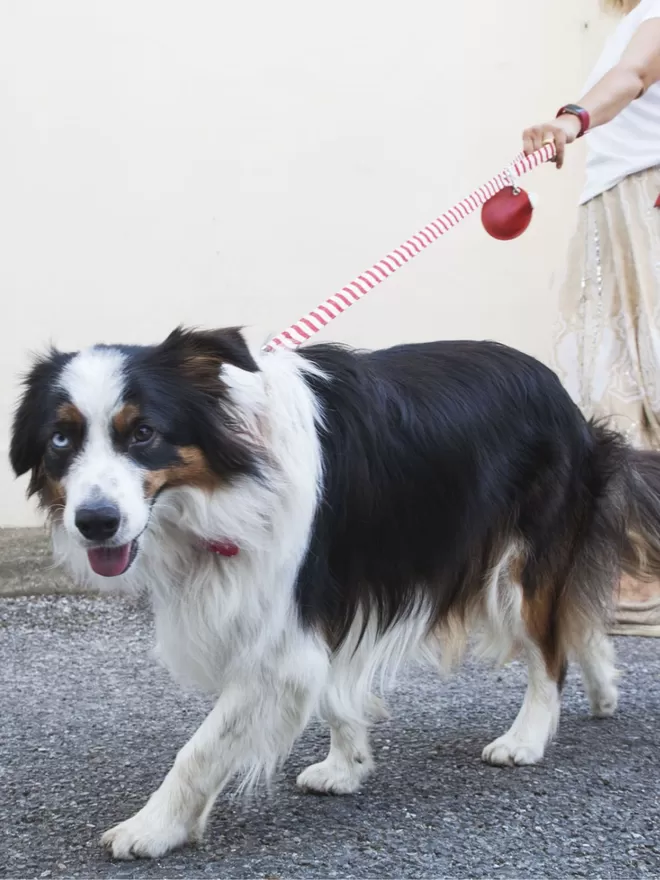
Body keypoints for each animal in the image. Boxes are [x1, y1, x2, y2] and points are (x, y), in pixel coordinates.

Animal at [7, 326, 660, 856]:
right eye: (61, 440)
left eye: (143, 433)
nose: (95, 522)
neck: (229, 480)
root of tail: (561, 392)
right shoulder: (325, 602)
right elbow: (332, 689)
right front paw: (348, 766)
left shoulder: (281, 630)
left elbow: (204, 745)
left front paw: (153, 827)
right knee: (574, 621)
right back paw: (603, 690)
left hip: (520, 561)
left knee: (548, 651)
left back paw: (526, 737)